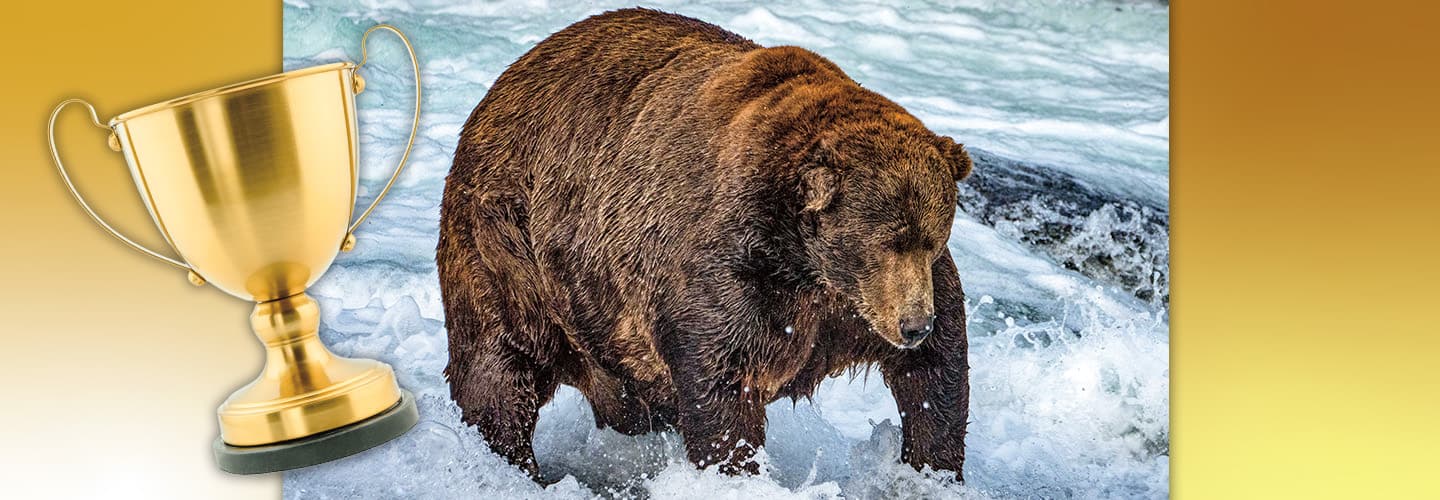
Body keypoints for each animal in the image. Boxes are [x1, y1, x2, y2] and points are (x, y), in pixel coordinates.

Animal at [437, 7, 973, 484]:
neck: (806, 263)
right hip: (509, 245)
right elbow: (721, 382)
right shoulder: (730, 269)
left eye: (931, 239)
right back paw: (511, 463)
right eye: (886, 241)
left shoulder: (854, 306)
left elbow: (937, 372)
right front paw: (735, 469)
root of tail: (504, 82)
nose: (913, 325)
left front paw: (931, 469)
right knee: (500, 365)